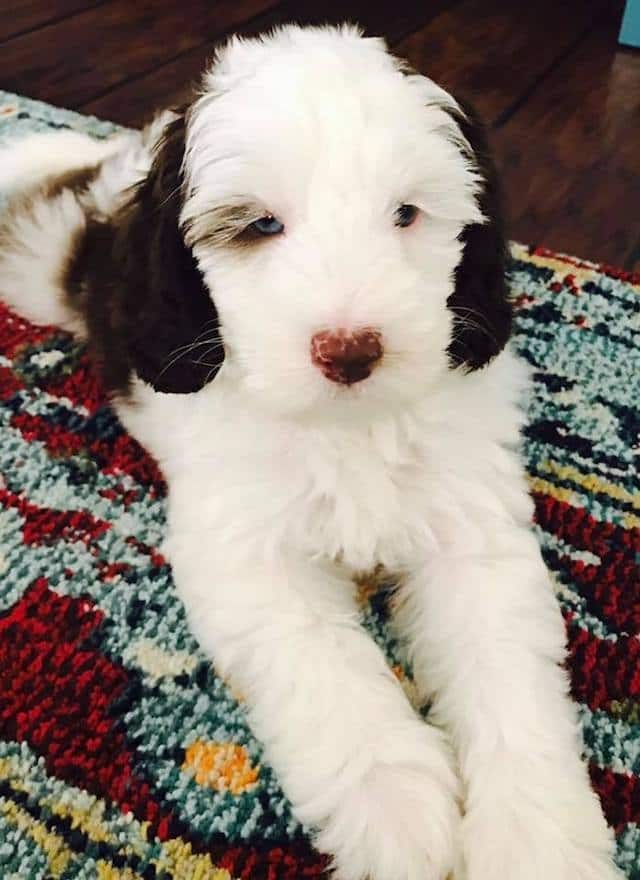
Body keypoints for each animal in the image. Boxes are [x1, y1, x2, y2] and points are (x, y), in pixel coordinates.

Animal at [0, 24, 624, 880]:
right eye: (260, 225)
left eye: (406, 214)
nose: (350, 350)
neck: (347, 425)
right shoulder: (247, 555)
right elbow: (327, 667)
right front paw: (398, 805)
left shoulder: (474, 534)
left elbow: (506, 675)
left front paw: (536, 841)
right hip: (36, 272)